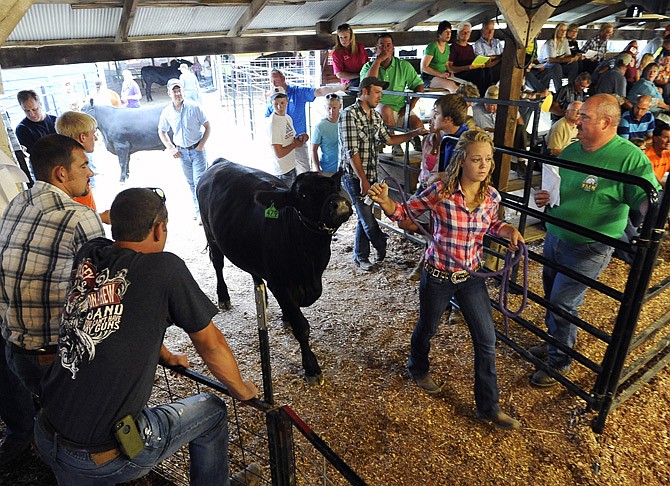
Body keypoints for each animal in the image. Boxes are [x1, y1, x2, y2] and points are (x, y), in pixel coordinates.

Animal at [197, 159, 354, 384]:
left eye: (335, 187)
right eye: (303, 195)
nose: (339, 204)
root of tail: (221, 161)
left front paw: (285, 316)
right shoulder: (281, 285)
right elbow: (302, 327)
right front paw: (312, 368)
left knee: (254, 271)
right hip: (211, 234)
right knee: (218, 264)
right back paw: (223, 297)